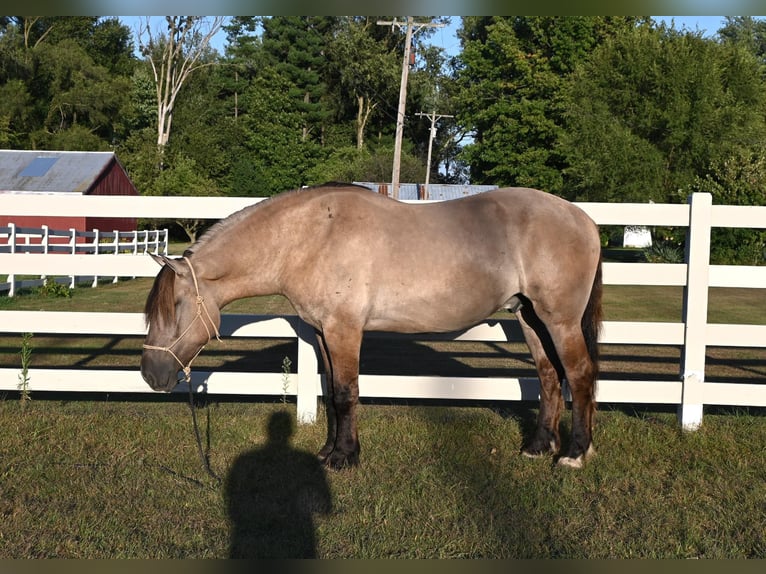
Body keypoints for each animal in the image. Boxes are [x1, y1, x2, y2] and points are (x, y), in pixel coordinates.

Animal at [140, 183, 603, 469]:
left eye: (175, 306)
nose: (150, 374)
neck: (310, 238)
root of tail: (583, 219)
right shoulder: (323, 332)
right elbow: (331, 393)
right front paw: (328, 450)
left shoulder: (345, 330)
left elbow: (347, 393)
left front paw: (344, 457)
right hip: (529, 317)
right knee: (548, 375)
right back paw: (538, 447)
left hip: (559, 320)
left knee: (579, 375)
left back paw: (574, 454)